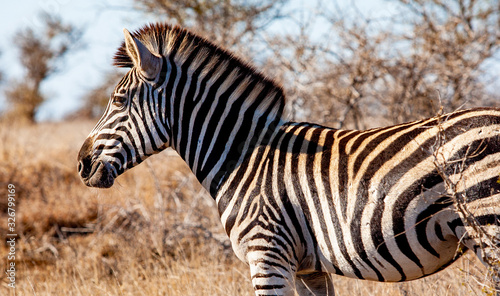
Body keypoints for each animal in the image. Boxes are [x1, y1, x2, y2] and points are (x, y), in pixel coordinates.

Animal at [78, 23, 500, 296]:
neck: (243, 157)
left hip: (487, 224)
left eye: (118, 101)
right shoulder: (308, 269)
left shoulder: (267, 257)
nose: (81, 164)